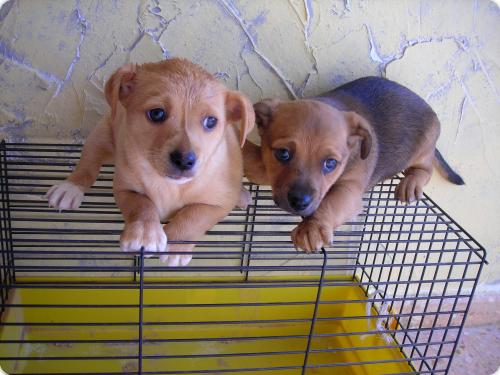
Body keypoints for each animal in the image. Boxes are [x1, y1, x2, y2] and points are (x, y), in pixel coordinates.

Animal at [46, 58, 254, 266]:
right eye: (157, 113)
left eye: (211, 121)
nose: (184, 161)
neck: (170, 185)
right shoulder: (124, 189)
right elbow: (141, 204)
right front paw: (144, 234)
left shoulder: (219, 205)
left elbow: (194, 215)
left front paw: (176, 246)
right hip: (101, 133)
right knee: (88, 163)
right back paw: (69, 188)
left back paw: (242, 194)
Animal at [246, 76, 464, 253]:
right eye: (283, 153)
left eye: (331, 163)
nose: (300, 202)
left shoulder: (349, 191)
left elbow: (330, 202)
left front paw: (311, 228)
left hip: (422, 150)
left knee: (425, 169)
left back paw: (410, 184)